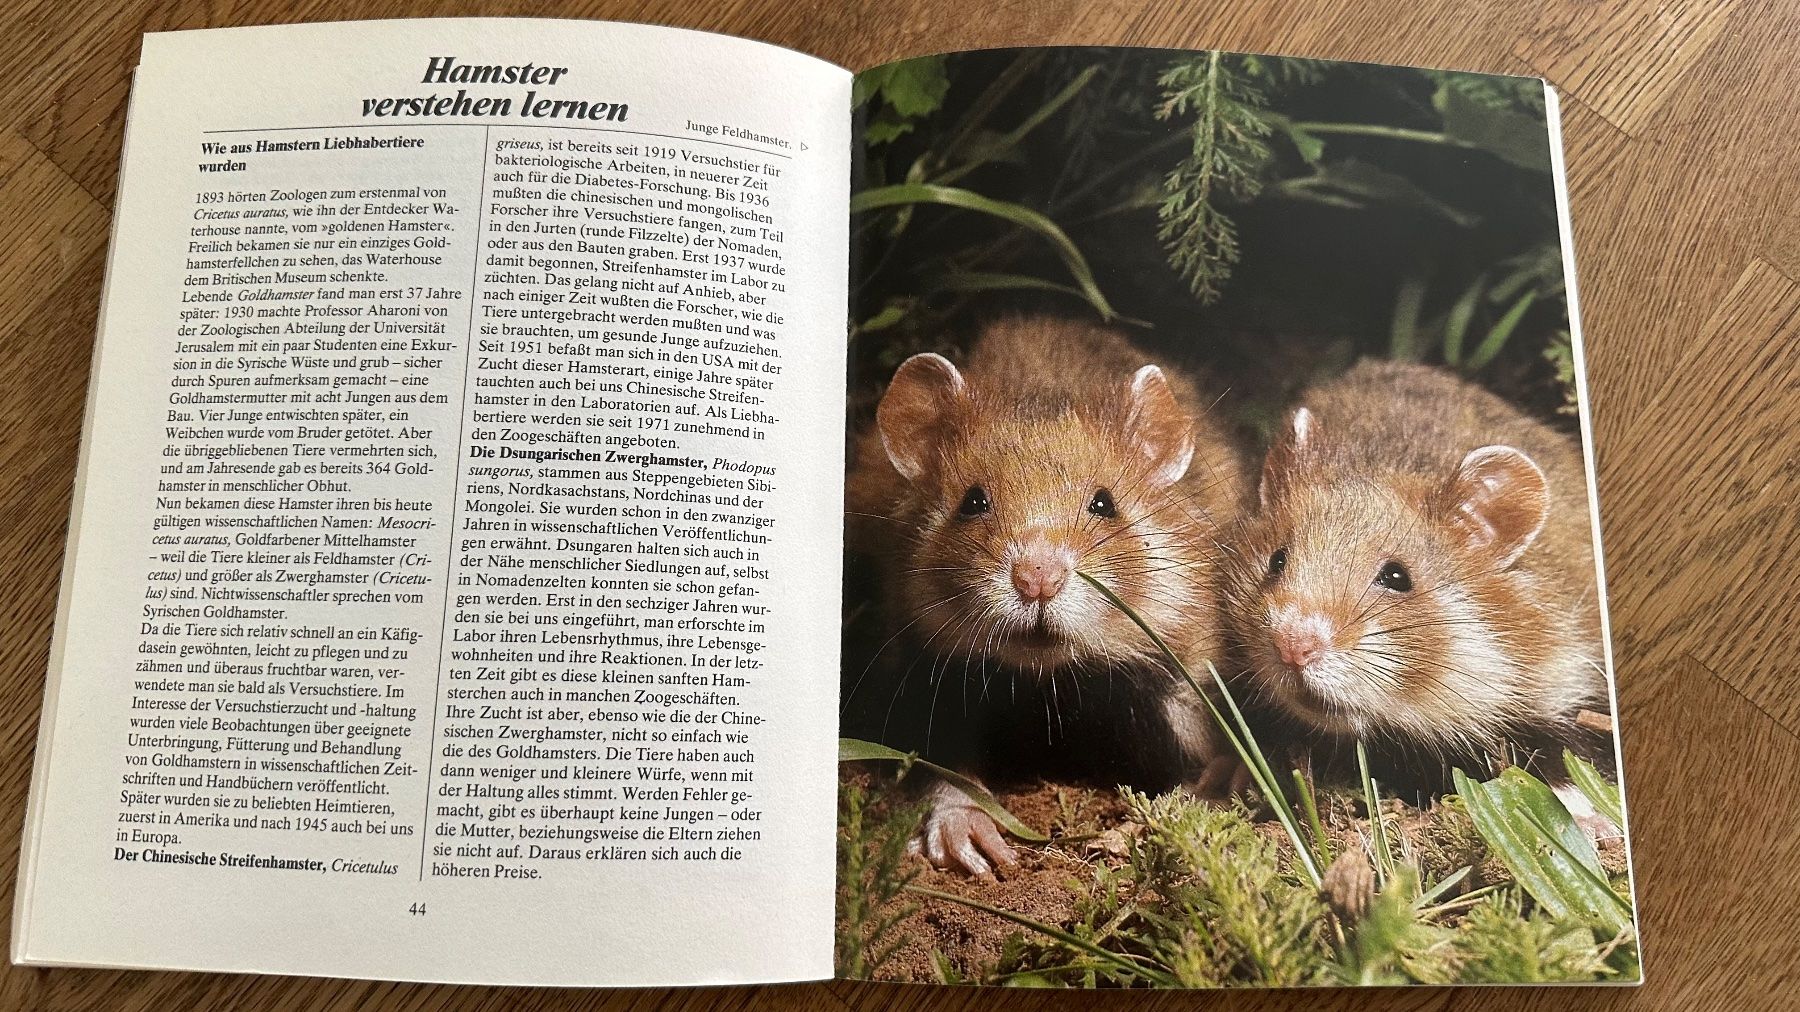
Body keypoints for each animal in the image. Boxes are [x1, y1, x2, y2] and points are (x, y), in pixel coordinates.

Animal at [844, 316, 1249, 876]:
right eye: (973, 501)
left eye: (1104, 503)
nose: (1038, 578)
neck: (1050, 684)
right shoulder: (931, 678)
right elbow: (946, 771)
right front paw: (969, 843)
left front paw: (1222, 785)